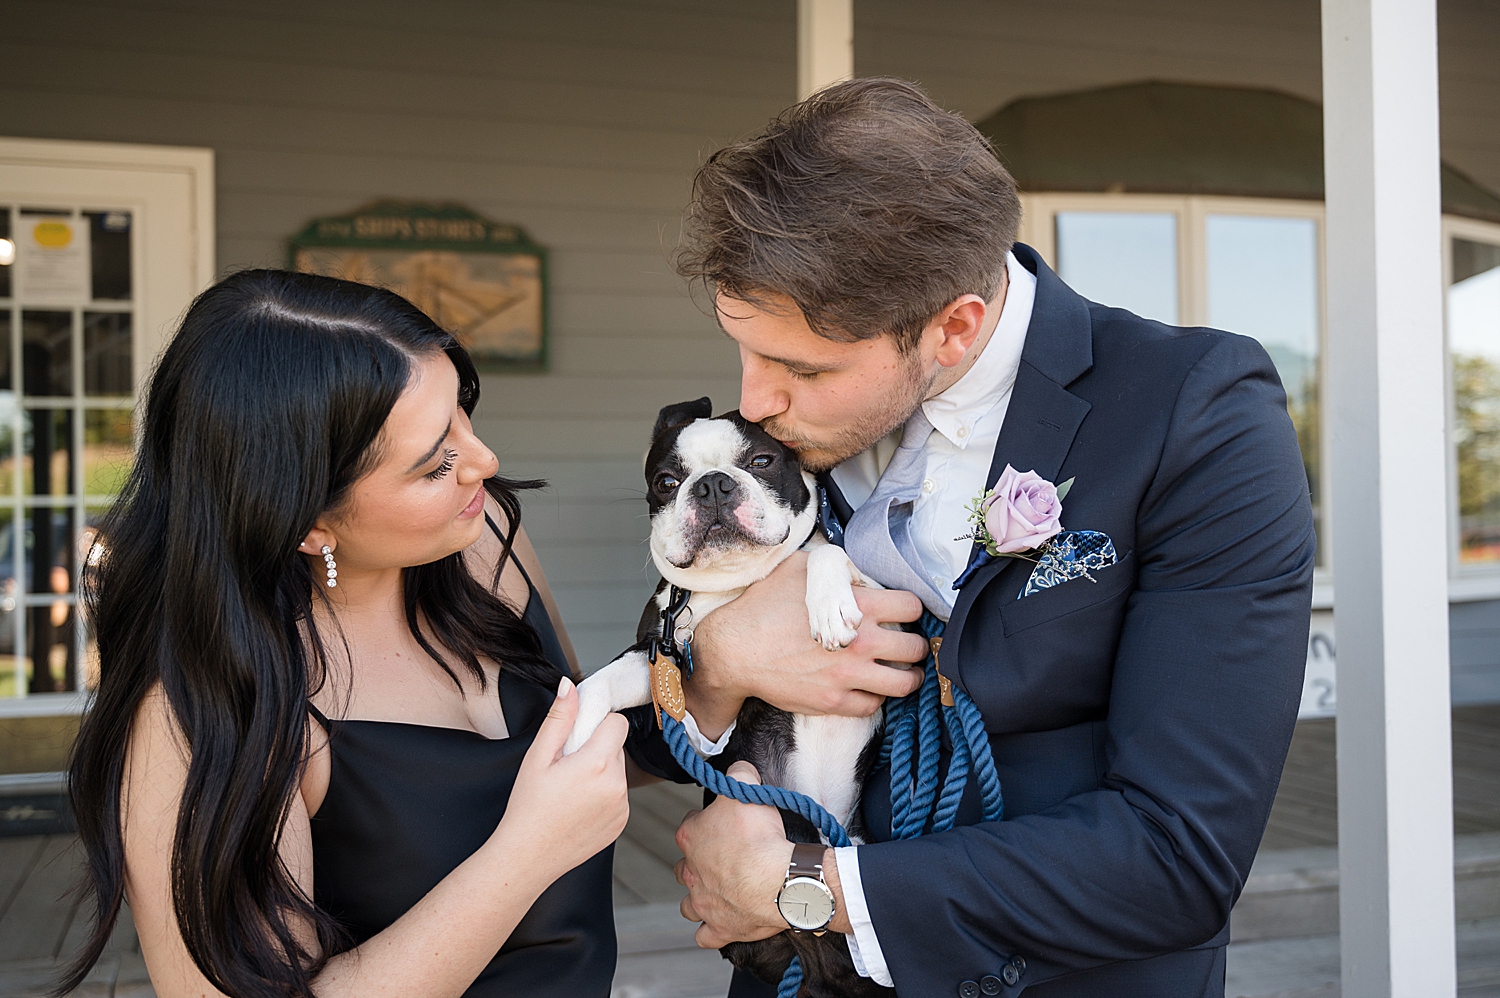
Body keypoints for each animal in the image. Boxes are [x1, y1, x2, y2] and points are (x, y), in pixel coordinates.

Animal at [561, 396, 888, 996]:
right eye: (667, 482)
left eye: (761, 461)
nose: (712, 484)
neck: (736, 584)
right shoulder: (660, 657)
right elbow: (600, 683)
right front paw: (573, 737)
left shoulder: (894, 614)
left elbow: (823, 554)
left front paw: (828, 604)